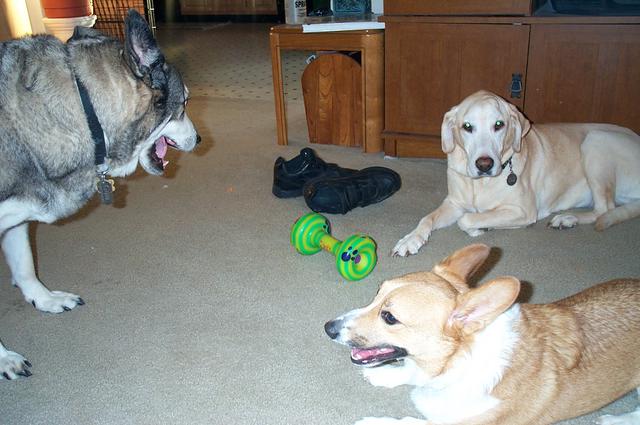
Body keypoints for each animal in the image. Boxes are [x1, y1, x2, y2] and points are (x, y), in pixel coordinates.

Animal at [0, 10, 200, 379]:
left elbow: (25, 266)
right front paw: (4, 358)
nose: (201, 139)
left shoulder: (19, 212)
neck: (87, 110)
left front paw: (44, 299)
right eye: (184, 104)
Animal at [325, 244, 640, 424]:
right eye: (376, 293)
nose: (328, 328)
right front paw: (383, 375)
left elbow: (408, 422)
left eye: (389, 317)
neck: (457, 362)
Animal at [392, 90, 640, 257]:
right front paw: (410, 239)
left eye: (499, 124)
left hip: (596, 140)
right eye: (467, 127)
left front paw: (480, 227)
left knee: (605, 209)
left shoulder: (523, 211)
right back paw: (568, 219)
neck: (480, 184)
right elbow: (427, 218)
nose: (484, 164)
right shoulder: (453, 203)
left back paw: (566, 218)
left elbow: (467, 219)